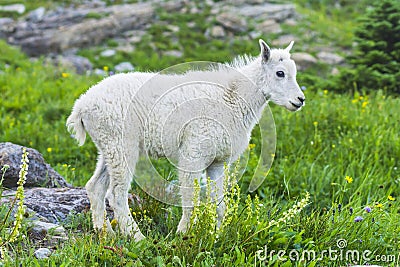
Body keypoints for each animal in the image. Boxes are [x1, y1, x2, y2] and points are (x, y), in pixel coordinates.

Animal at [65, 39, 304, 241]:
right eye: (280, 73)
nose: (300, 100)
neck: (233, 99)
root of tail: (81, 106)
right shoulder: (193, 151)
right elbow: (191, 197)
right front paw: (184, 234)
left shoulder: (217, 161)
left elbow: (219, 203)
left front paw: (216, 235)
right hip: (121, 144)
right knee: (117, 194)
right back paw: (137, 237)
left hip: (108, 147)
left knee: (96, 186)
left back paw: (106, 233)